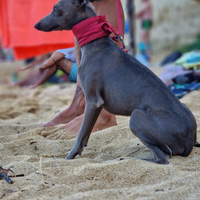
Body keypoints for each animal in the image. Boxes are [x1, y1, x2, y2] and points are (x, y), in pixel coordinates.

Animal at [34, 0, 198, 164]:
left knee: (161, 159)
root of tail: (189, 140)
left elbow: (80, 135)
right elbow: (85, 135)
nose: (36, 25)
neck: (95, 42)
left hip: (136, 117)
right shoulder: (96, 105)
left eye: (55, 8)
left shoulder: (93, 101)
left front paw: (69, 157)